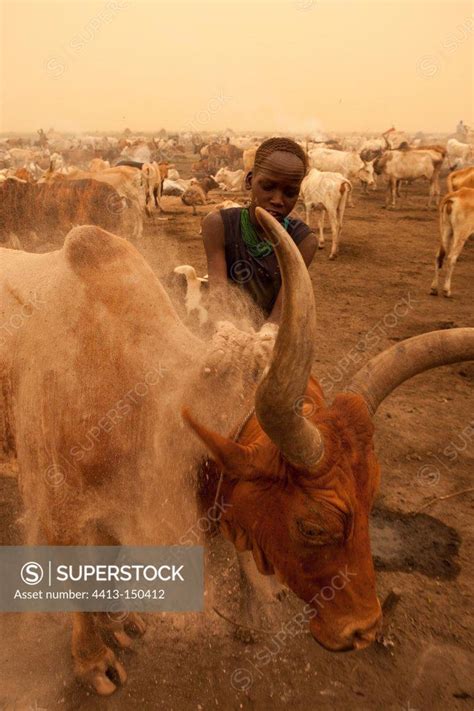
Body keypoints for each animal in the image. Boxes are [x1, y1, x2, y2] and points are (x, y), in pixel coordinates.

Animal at [1, 211, 472, 696]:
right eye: (313, 526)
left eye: (371, 495)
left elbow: (108, 564)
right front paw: (93, 659)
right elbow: (75, 584)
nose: (364, 628)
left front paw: (120, 622)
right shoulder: (57, 511)